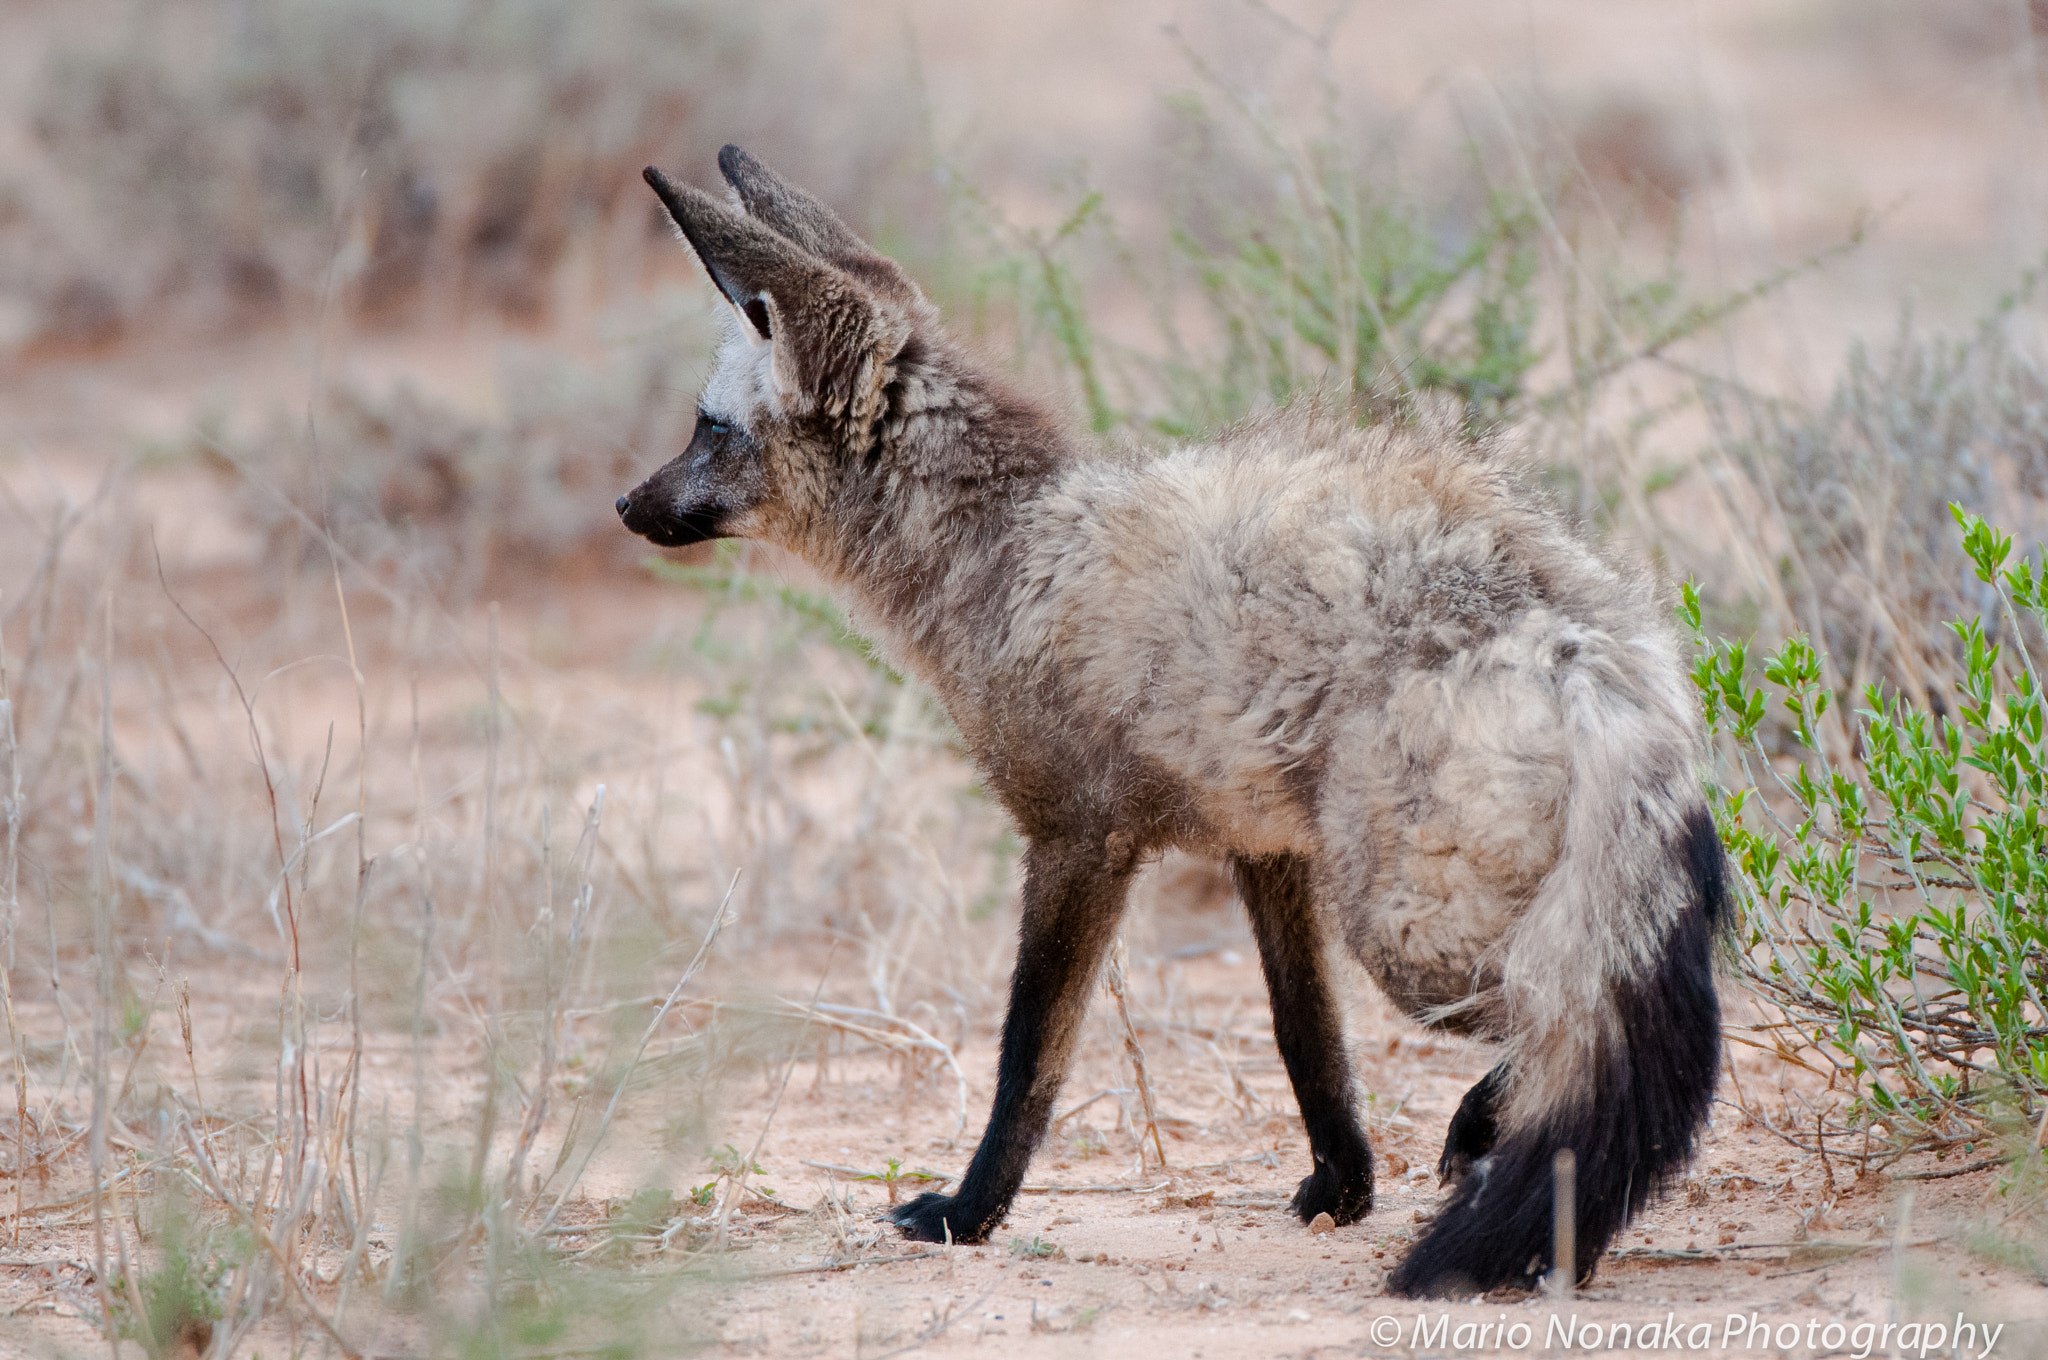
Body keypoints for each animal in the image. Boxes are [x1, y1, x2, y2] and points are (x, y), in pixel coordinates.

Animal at [615, 146, 1729, 1297]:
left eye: (707, 429)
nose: (624, 506)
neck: (1006, 550)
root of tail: (1583, 635)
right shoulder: (1264, 852)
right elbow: (1305, 1041)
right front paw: (1342, 1188)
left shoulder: (1076, 841)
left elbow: (1028, 1060)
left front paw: (968, 1213)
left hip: (1411, 937)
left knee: (1584, 1014)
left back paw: (1481, 1132)